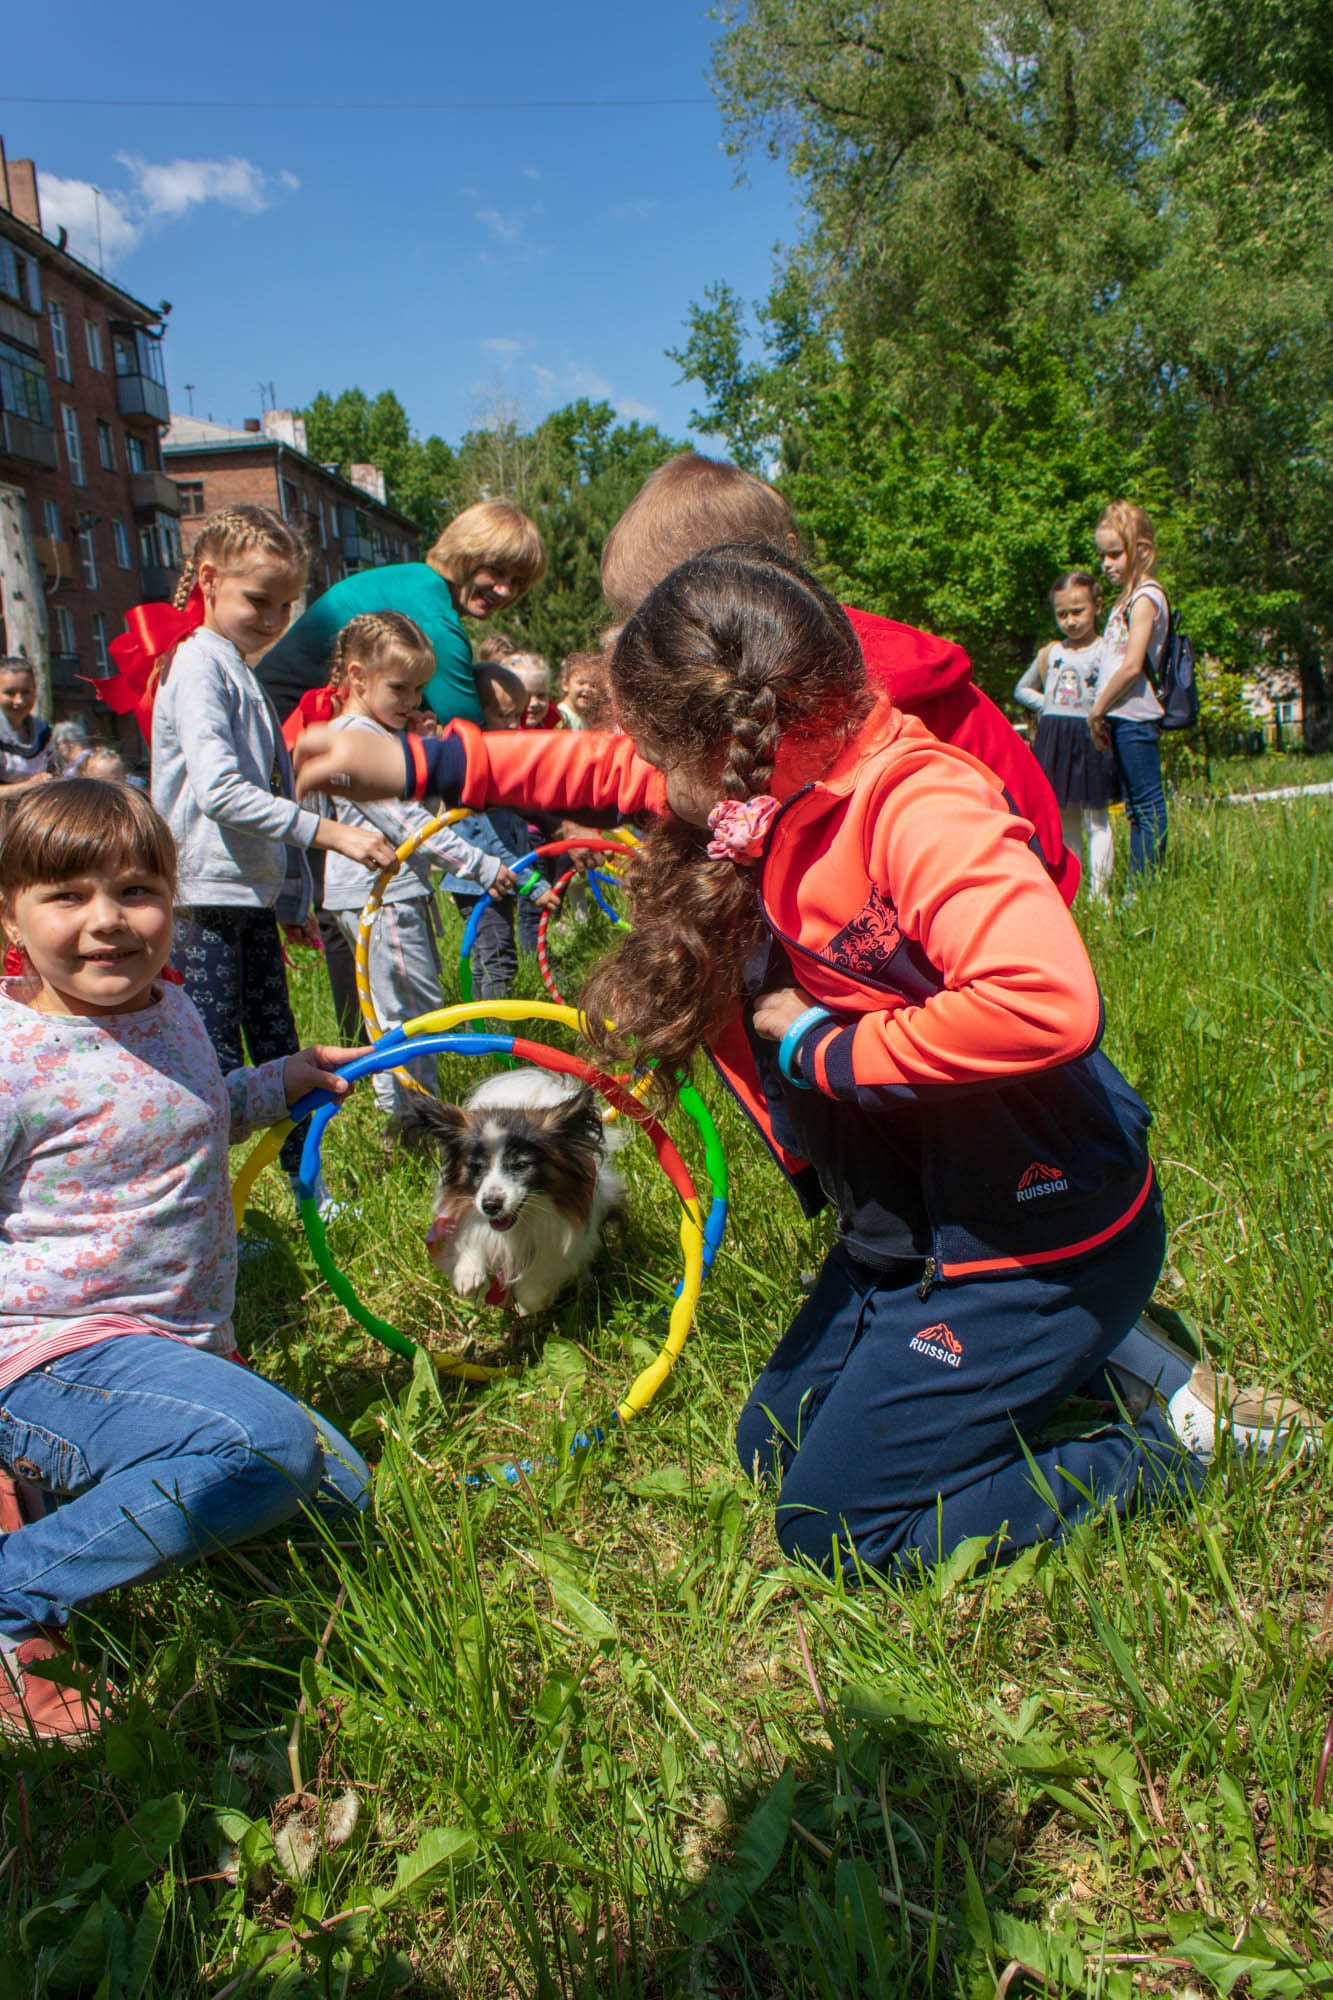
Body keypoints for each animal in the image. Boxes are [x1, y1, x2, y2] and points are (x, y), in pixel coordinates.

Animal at [418, 1072, 624, 1320]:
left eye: (520, 1165)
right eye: (477, 1167)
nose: (490, 1205)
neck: (518, 1225)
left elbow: (538, 1280)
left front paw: (529, 1303)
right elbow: (473, 1238)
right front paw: (467, 1273)